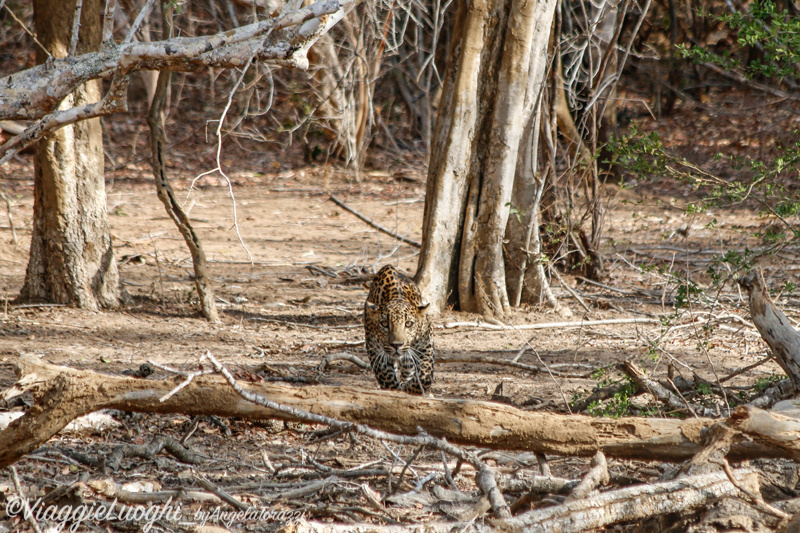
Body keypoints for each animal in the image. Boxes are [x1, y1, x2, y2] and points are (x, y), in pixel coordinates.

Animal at [366, 266, 434, 394]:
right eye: (384, 324)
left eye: (408, 324)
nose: (396, 345)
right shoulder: (374, 348)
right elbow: (385, 376)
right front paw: (396, 389)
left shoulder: (426, 344)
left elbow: (425, 376)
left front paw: (408, 388)